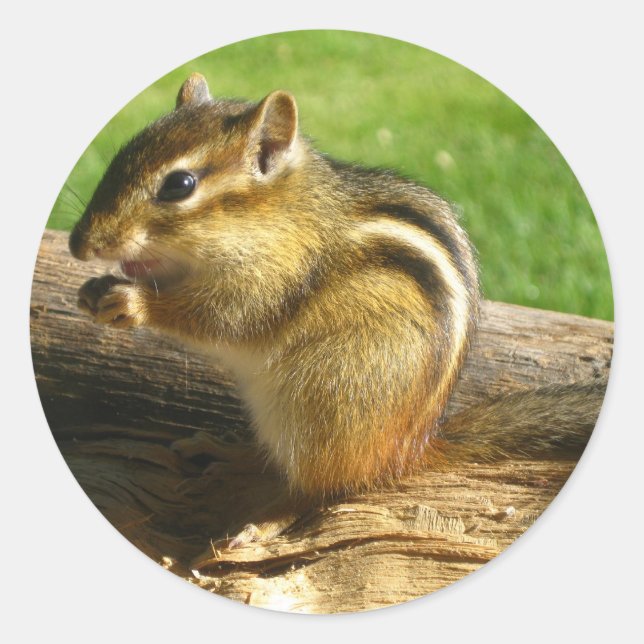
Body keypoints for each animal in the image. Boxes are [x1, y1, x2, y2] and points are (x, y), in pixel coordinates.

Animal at [69, 73, 605, 507]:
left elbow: (222, 318)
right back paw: (225, 451)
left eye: (179, 185)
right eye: (120, 155)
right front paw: (94, 288)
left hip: (323, 399)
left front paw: (132, 301)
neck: (278, 217)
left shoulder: (273, 280)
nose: (78, 244)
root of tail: (410, 448)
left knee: (315, 485)